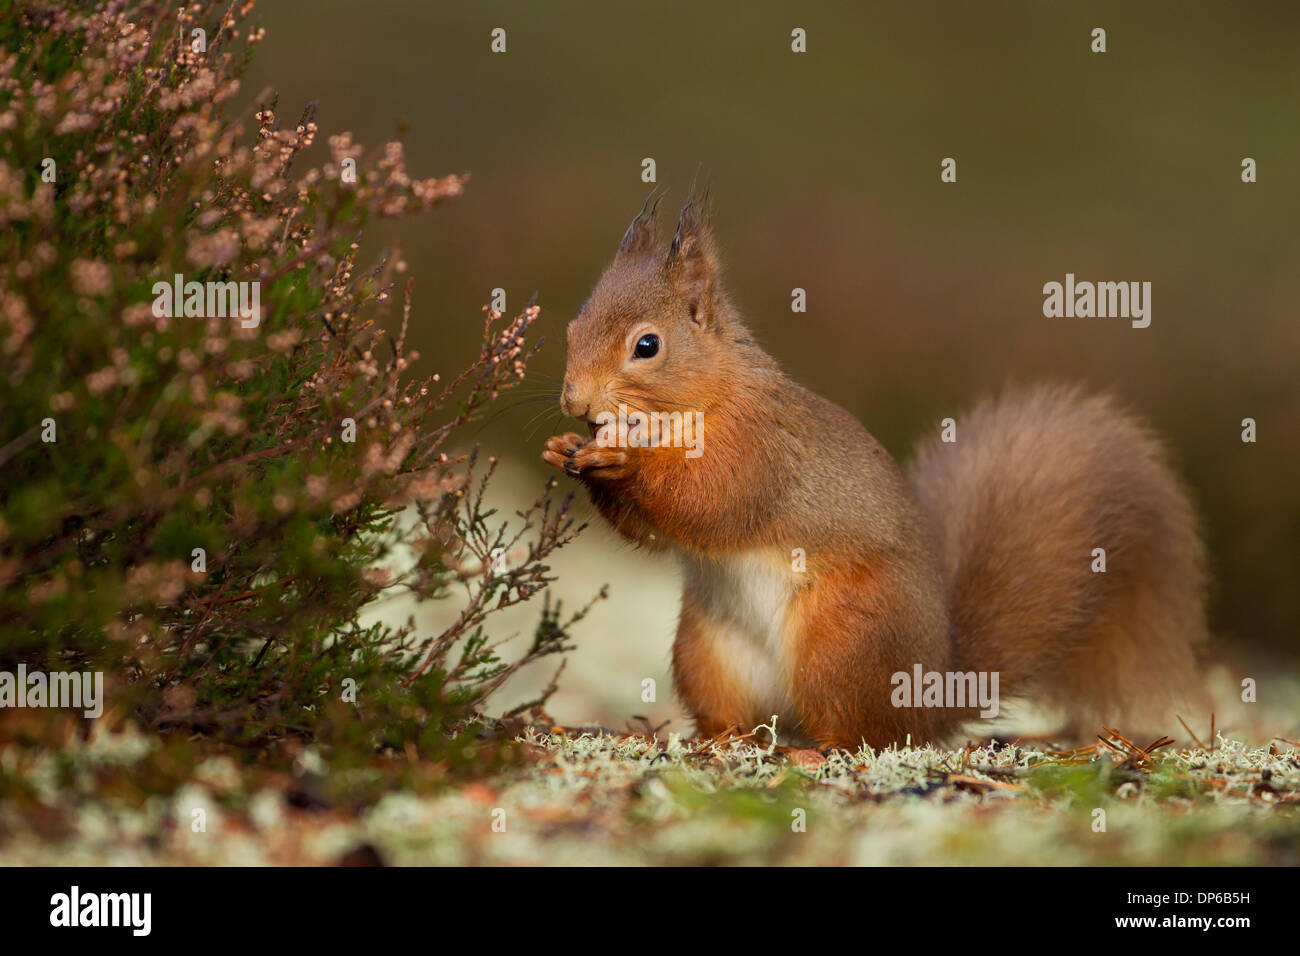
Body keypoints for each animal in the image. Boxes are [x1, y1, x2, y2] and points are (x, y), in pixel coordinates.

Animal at [540, 191, 1206, 749]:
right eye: (571, 328)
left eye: (646, 346)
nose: (575, 403)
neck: (711, 396)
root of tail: (932, 695)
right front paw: (565, 447)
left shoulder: (761, 450)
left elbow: (709, 503)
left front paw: (618, 459)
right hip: (707, 651)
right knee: (745, 716)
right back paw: (719, 739)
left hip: (841, 639)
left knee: (864, 732)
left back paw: (818, 750)